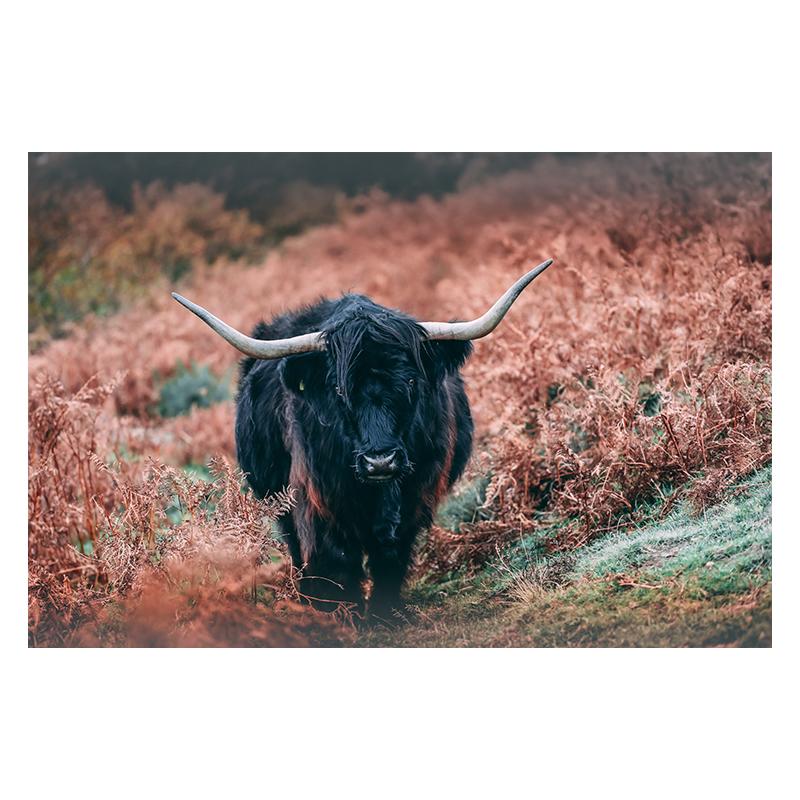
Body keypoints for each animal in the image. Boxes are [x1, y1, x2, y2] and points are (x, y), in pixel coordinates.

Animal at [171, 258, 553, 618]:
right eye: (340, 390)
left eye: (410, 381)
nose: (380, 461)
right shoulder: (317, 498)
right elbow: (335, 559)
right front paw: (338, 614)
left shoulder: (416, 494)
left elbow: (392, 554)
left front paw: (385, 615)